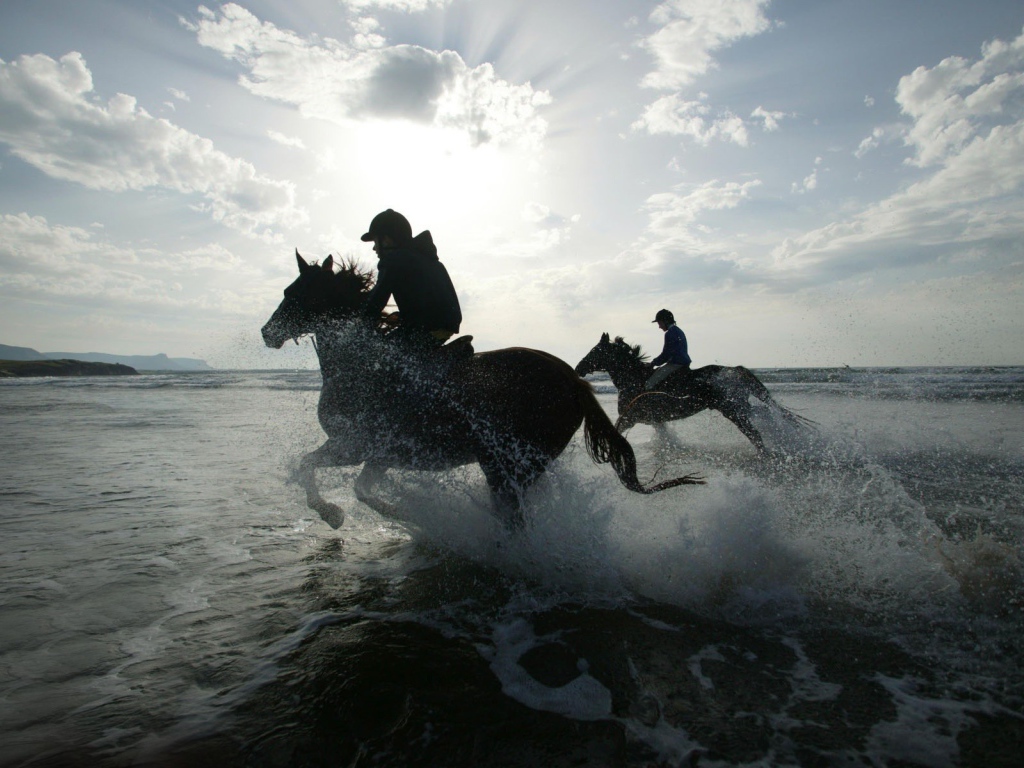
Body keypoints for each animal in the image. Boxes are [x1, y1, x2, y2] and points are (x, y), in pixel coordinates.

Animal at [261, 252, 703, 531]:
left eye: (293, 292)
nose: (268, 333)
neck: (361, 365)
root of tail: (574, 381)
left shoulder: (352, 445)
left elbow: (308, 466)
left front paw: (332, 513)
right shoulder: (380, 455)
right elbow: (360, 488)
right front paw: (402, 513)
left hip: (508, 465)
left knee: (514, 518)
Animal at [574, 333, 812, 453]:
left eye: (595, 350)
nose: (578, 368)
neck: (633, 380)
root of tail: (734, 370)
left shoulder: (631, 418)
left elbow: (616, 430)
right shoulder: (655, 420)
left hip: (731, 410)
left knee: (755, 434)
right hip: (740, 405)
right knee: (762, 415)